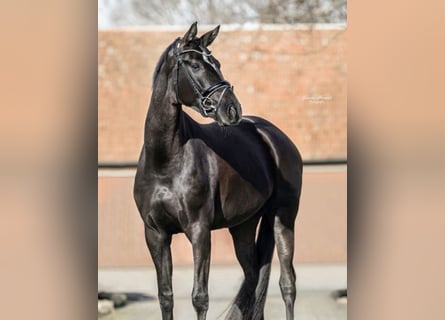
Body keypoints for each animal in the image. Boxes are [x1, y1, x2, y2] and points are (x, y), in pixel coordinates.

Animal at [133, 22, 302, 320]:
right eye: (194, 65)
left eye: (218, 63)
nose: (232, 109)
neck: (165, 161)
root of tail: (276, 137)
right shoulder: (155, 233)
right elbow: (166, 296)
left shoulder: (199, 231)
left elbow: (200, 297)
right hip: (243, 226)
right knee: (253, 280)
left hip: (284, 218)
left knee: (287, 284)